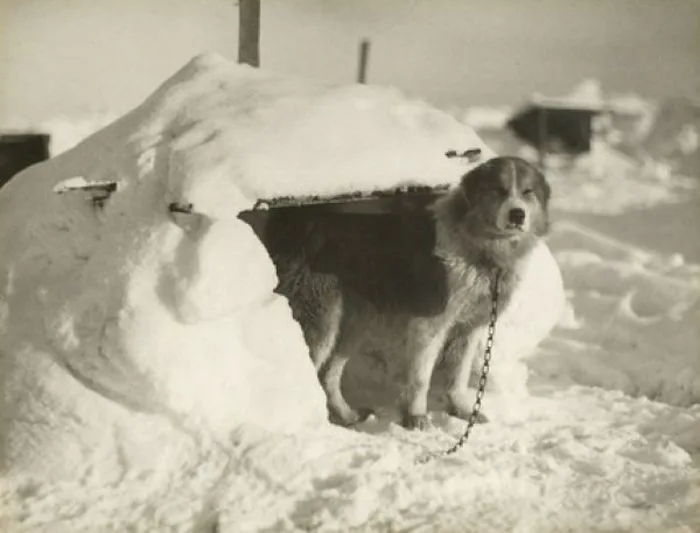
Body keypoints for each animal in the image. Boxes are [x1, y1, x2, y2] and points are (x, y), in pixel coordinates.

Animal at [260, 155, 548, 428]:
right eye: (499, 190)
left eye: (528, 192)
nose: (517, 215)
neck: (479, 250)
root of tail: (296, 227)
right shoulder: (430, 324)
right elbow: (421, 378)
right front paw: (416, 418)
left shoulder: (470, 327)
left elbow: (459, 376)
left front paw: (462, 411)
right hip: (321, 321)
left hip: (355, 323)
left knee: (328, 374)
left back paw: (347, 415)